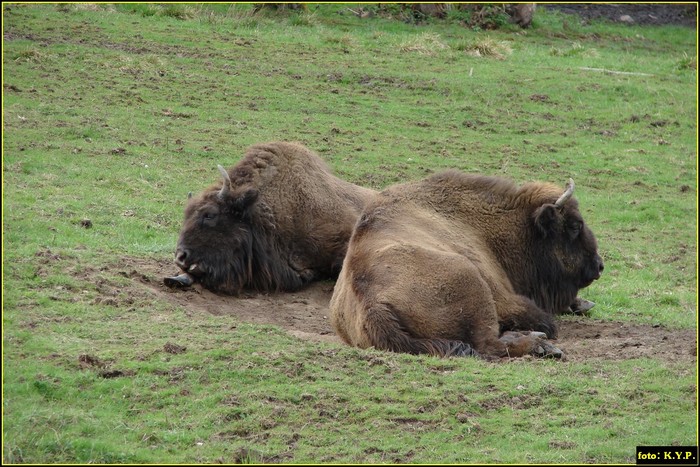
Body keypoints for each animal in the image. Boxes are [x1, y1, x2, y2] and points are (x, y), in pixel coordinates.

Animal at [330, 174, 604, 360]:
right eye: (574, 226)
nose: (599, 266)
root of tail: (373, 307)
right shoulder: (508, 300)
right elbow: (544, 320)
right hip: (471, 281)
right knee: (488, 344)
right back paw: (541, 344)